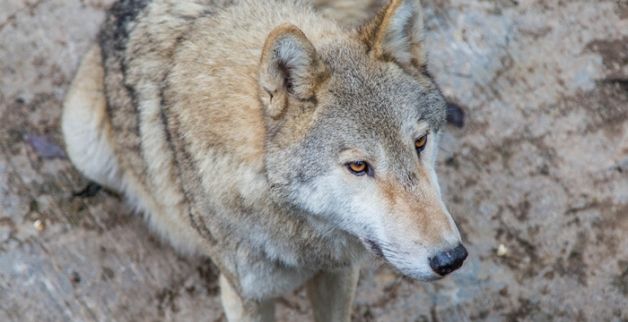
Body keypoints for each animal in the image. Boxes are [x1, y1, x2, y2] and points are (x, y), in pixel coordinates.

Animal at [62, 1, 466, 320]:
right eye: (358, 166)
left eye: (420, 142)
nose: (451, 258)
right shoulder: (247, 297)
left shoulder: (339, 273)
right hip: (83, 141)